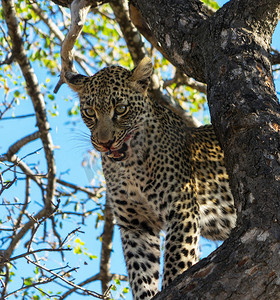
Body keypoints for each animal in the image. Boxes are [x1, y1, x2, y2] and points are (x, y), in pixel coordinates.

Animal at [65, 58, 236, 300]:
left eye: (121, 109)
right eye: (89, 112)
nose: (105, 143)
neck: (128, 167)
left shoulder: (182, 211)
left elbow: (176, 262)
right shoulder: (135, 226)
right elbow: (141, 273)